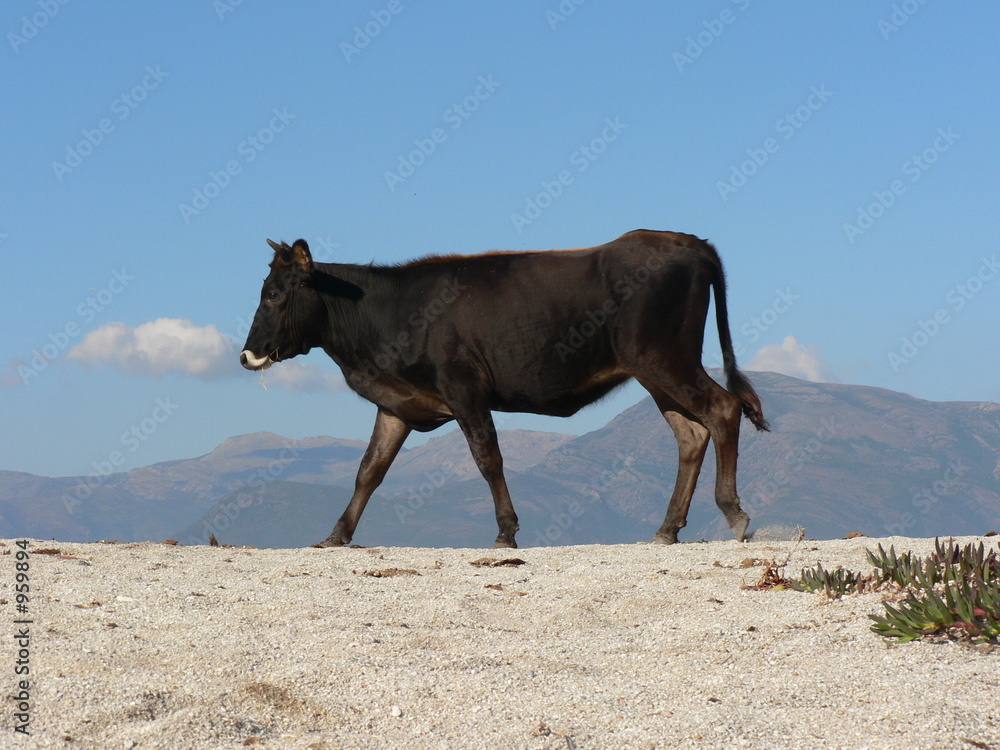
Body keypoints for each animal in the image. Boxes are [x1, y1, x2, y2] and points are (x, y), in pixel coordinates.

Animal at [238, 226, 768, 548]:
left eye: (275, 295)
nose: (246, 355)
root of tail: (688, 240)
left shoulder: (464, 388)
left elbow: (487, 458)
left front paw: (506, 532)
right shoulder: (398, 405)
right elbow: (369, 469)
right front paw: (336, 535)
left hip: (665, 359)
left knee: (722, 409)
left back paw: (733, 513)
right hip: (653, 372)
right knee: (690, 434)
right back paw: (666, 528)